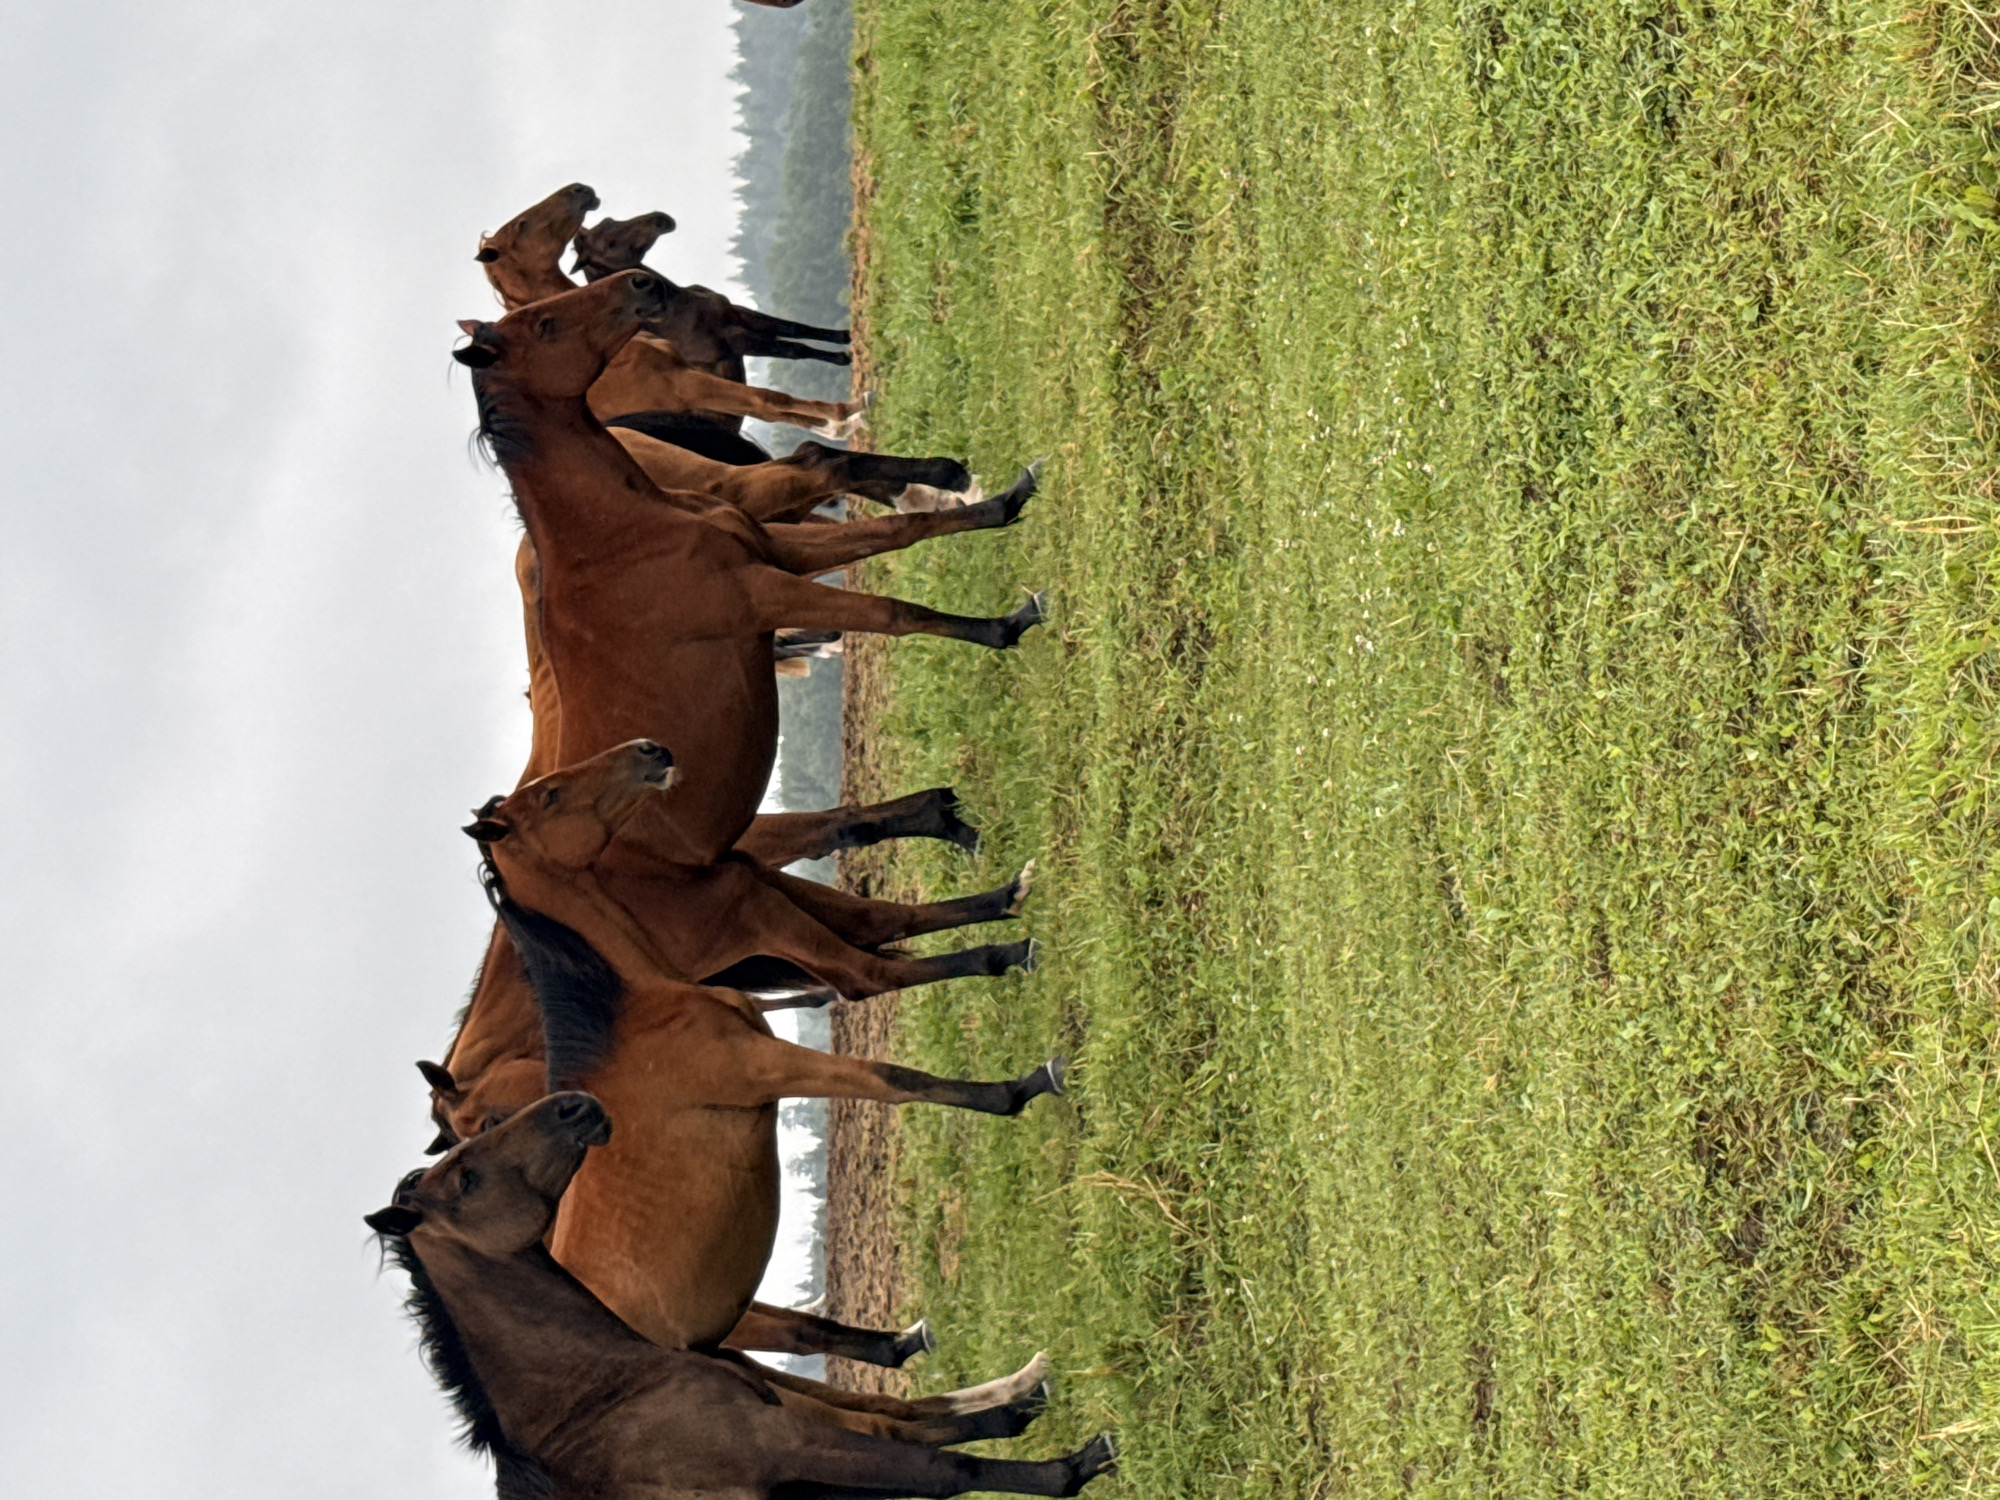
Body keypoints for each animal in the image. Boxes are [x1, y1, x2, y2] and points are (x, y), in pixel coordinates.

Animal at [366, 1093, 1117, 1499]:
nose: (574, 1104)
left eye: (488, 1124)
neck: (600, 1402)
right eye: (465, 1180)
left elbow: (919, 1432)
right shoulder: (787, 1446)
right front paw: (1081, 1463)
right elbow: (943, 1468)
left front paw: (1034, 1411)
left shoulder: (798, 1444)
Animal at [571, 209, 850, 370]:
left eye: (611, 219)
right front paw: (843, 357)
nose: (660, 219)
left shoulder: (736, 314)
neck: (682, 311)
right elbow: (794, 349)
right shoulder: (736, 340)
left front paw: (845, 337)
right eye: (611, 243)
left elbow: (795, 328)